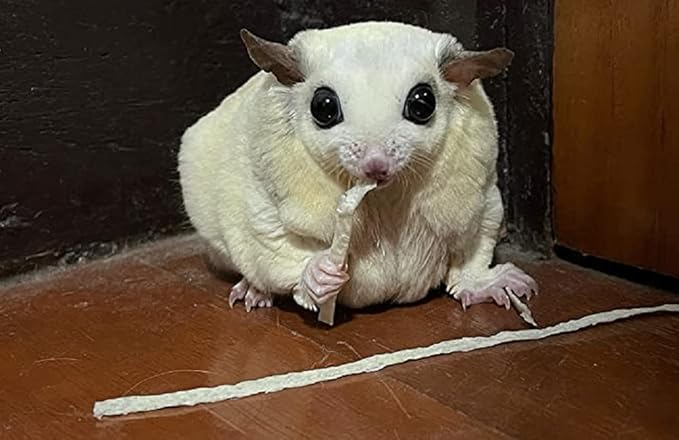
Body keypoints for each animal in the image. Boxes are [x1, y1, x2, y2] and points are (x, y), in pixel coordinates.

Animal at [178, 21, 538, 313]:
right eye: (323, 107)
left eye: (422, 103)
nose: (375, 166)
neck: (384, 193)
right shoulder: (264, 195)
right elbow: (272, 237)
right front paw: (318, 274)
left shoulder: (480, 198)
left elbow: (473, 244)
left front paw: (487, 284)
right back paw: (254, 291)